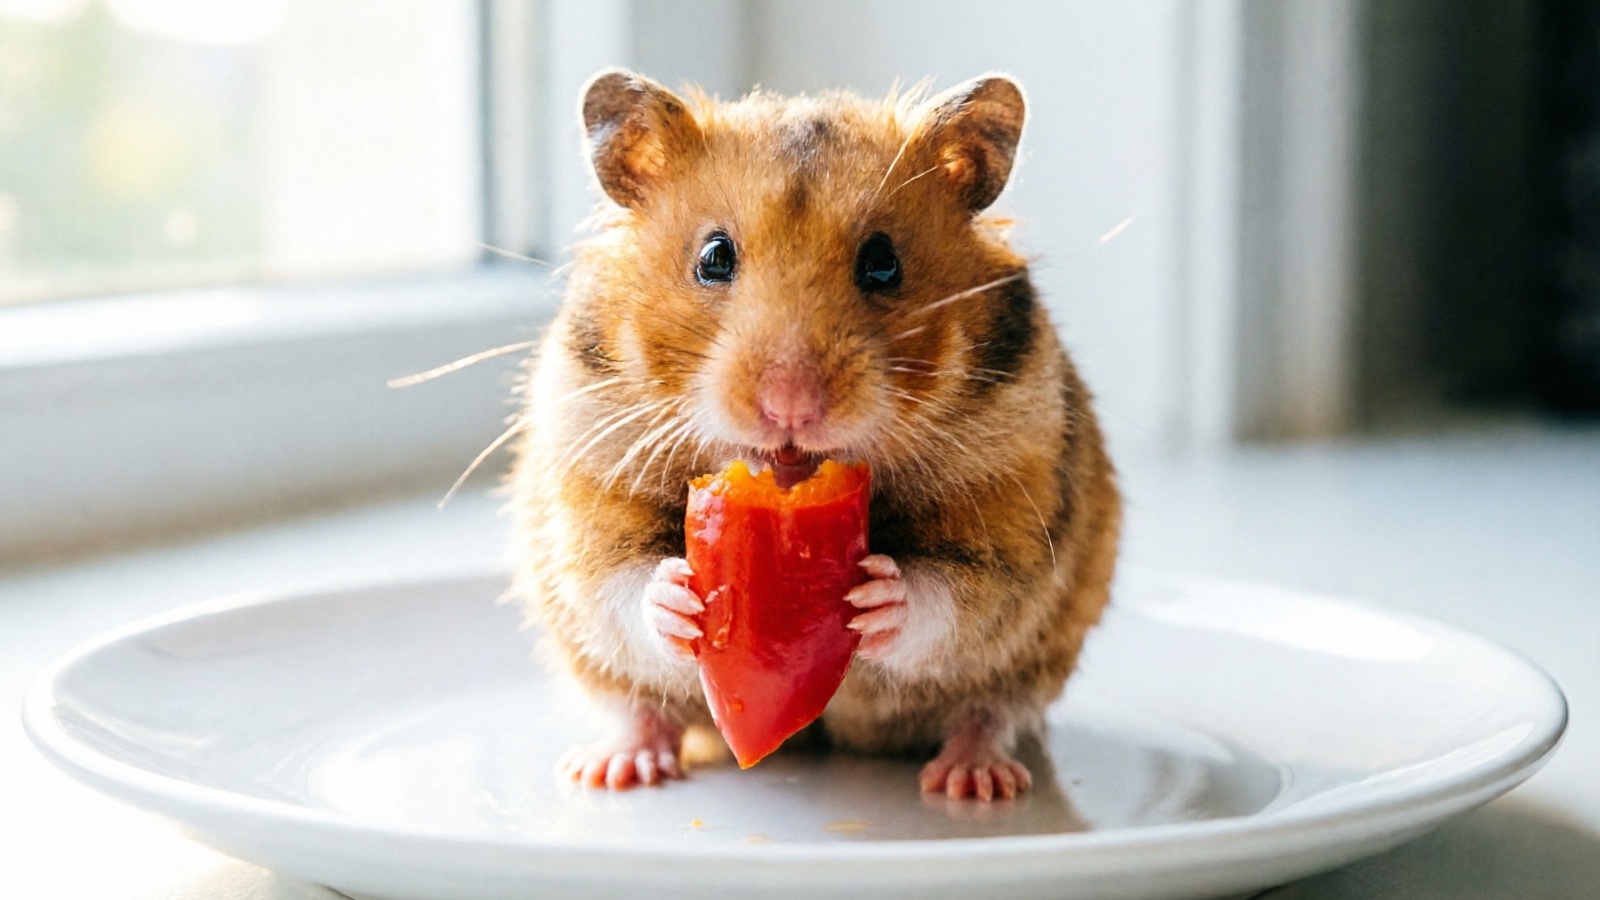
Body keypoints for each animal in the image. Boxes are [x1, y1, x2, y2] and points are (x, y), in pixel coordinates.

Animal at [510, 68, 1121, 801]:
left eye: (883, 263)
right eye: (714, 256)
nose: (791, 407)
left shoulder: (1011, 517)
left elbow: (956, 592)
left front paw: (878, 597)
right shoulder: (587, 485)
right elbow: (617, 578)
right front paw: (679, 596)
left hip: (1042, 654)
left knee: (989, 711)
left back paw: (973, 781)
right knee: (637, 706)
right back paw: (613, 769)